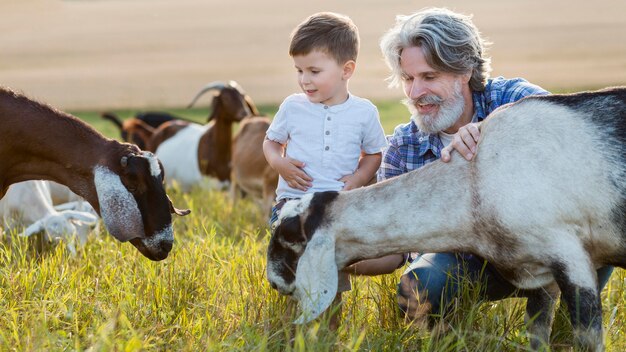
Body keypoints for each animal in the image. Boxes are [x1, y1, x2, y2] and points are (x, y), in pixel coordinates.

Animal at [264, 86, 624, 350]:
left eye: (289, 239)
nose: (274, 283)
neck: (474, 181)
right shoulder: (540, 276)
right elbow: (535, 336)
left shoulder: (571, 258)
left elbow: (588, 339)